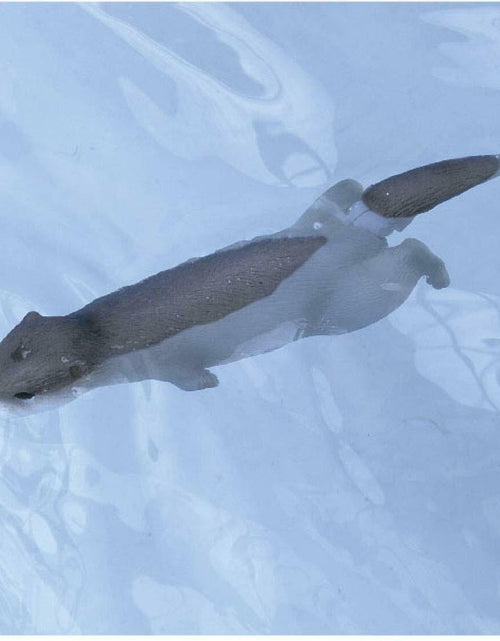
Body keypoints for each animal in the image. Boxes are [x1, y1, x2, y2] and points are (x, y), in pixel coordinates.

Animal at [0, 155, 497, 412]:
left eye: (22, 395)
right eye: (3, 351)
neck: (103, 334)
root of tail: (353, 231)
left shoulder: (166, 366)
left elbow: (193, 381)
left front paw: (209, 385)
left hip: (350, 303)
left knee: (409, 254)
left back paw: (439, 275)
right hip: (327, 210)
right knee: (350, 188)